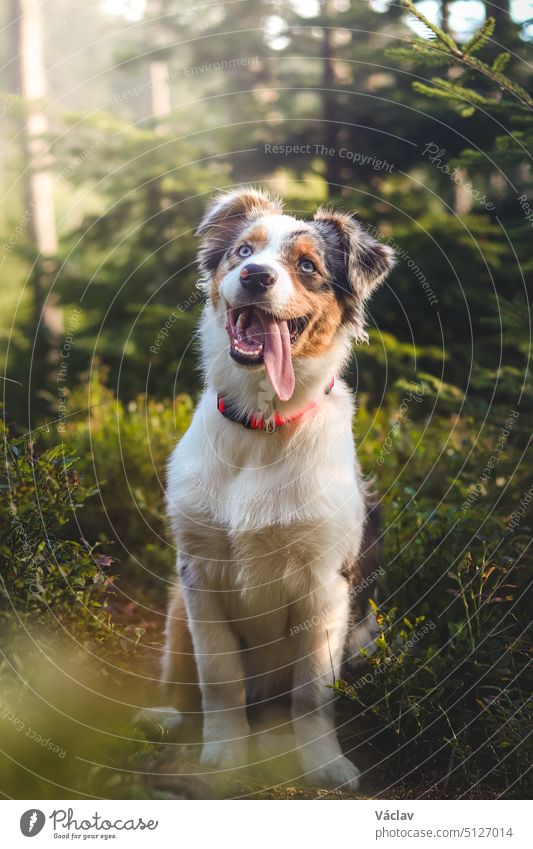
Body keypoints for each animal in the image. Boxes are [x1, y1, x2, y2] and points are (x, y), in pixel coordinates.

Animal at [164, 189, 392, 792]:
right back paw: (162, 716)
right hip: (174, 604)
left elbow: (311, 693)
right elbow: (218, 678)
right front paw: (223, 755)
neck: (261, 427)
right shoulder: (199, 574)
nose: (254, 275)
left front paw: (324, 764)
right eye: (244, 250)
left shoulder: (326, 584)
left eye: (308, 266)